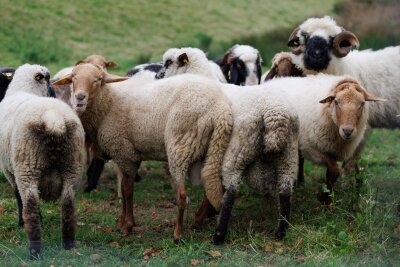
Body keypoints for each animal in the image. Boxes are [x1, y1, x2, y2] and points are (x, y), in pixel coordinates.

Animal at [0, 64, 84, 260]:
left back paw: (34, 252)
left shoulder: (9, 170)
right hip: (72, 167)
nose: (53, 92)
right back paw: (68, 245)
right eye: (48, 79)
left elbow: (17, 196)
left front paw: (20, 222)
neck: (22, 89)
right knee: (68, 208)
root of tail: (54, 120)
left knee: (30, 208)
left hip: (28, 167)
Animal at [54, 63, 233, 243]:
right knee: (209, 188)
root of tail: (220, 109)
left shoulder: (124, 152)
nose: (79, 98)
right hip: (212, 148)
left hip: (181, 146)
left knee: (182, 195)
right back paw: (196, 222)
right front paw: (124, 222)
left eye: (97, 79)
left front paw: (127, 226)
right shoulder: (125, 154)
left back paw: (178, 233)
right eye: (74, 78)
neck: (108, 102)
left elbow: (127, 191)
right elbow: (124, 188)